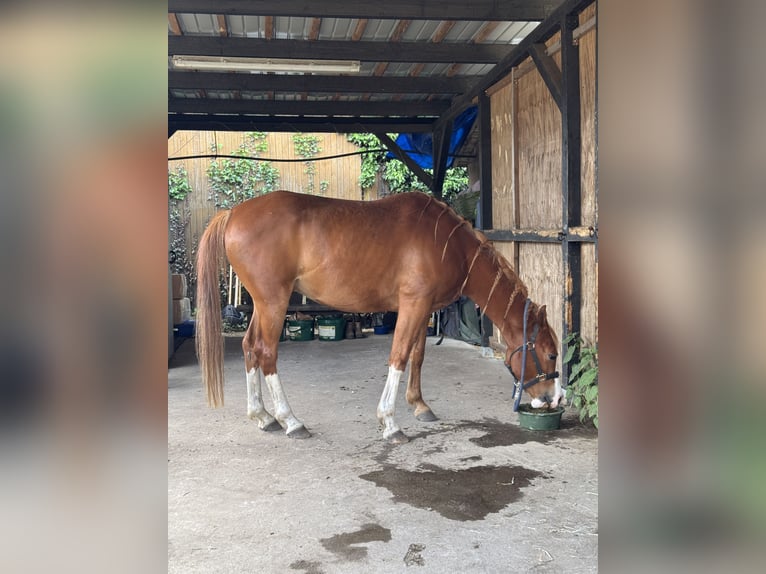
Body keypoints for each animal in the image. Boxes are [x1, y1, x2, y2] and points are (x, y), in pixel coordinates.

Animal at [195, 190, 563, 443]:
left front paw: (419, 405)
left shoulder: (423, 308)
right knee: (266, 353)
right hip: (274, 301)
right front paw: (390, 422)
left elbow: (417, 355)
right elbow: (398, 357)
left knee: (249, 347)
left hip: (263, 304)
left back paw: (262, 415)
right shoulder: (413, 305)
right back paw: (290, 420)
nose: (554, 398)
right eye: (550, 353)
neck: (450, 244)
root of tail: (233, 213)